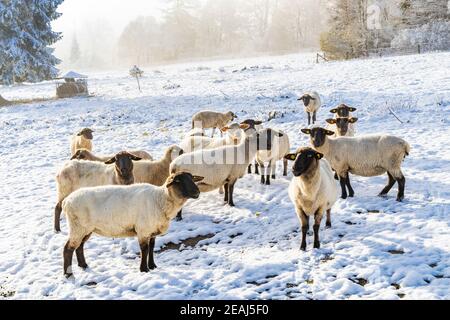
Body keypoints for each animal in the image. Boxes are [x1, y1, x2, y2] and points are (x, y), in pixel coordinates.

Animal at [61, 172, 204, 278]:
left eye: (192, 178)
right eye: (178, 181)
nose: (197, 192)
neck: (161, 199)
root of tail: (66, 201)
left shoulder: (152, 231)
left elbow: (152, 248)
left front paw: (152, 266)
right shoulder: (143, 230)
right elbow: (144, 250)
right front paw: (144, 269)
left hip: (86, 229)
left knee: (79, 246)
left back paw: (83, 265)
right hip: (77, 227)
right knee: (68, 249)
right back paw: (68, 274)